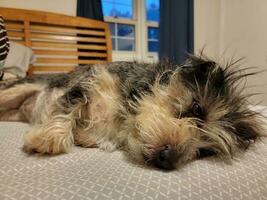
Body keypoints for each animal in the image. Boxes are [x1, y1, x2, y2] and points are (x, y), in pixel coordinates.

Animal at [0, 55, 264, 170]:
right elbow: (67, 107)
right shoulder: (90, 80)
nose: (168, 159)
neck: (123, 114)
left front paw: (82, 137)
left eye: (205, 151)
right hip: (19, 88)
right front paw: (50, 137)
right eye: (197, 109)